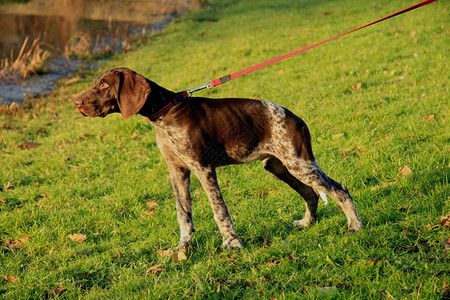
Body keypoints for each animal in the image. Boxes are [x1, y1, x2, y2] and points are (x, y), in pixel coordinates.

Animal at [73, 67, 362, 248]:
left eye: (104, 85)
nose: (76, 102)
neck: (164, 112)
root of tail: (297, 118)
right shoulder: (177, 172)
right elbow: (183, 213)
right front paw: (184, 247)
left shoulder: (203, 168)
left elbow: (219, 210)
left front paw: (232, 243)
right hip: (279, 166)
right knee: (311, 193)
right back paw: (306, 223)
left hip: (299, 163)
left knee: (340, 190)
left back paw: (355, 226)